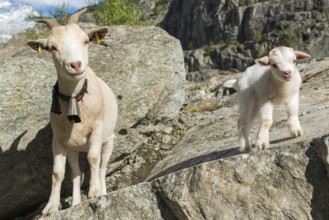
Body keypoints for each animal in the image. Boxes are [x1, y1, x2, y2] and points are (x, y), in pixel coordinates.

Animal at [26, 9, 117, 217]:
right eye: (52, 47)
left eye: (85, 40)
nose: (75, 65)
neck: (76, 99)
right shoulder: (58, 139)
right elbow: (58, 173)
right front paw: (50, 208)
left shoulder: (97, 128)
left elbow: (94, 159)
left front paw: (94, 192)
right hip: (74, 149)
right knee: (76, 173)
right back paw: (75, 203)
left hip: (108, 140)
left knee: (102, 166)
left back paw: (102, 191)